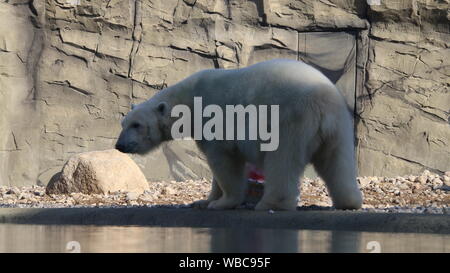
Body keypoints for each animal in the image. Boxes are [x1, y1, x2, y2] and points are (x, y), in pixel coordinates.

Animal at [115, 58, 362, 209]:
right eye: (123, 123)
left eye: (136, 125)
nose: (120, 146)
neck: (189, 100)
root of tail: (323, 104)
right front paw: (203, 201)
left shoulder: (214, 121)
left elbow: (224, 163)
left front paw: (222, 202)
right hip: (338, 126)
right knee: (337, 161)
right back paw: (349, 201)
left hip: (291, 120)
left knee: (282, 160)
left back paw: (270, 204)